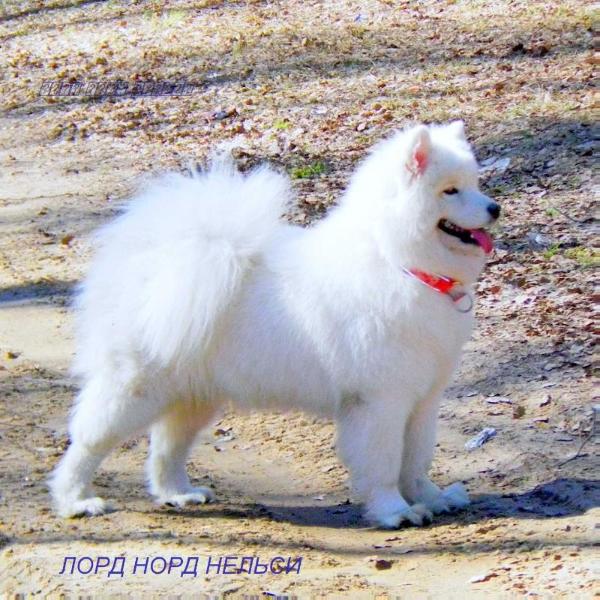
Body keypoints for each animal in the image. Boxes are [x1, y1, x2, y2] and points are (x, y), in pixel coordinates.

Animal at [51, 120, 500, 524]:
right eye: (450, 190)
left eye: (475, 184)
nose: (494, 208)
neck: (399, 261)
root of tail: (150, 258)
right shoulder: (381, 402)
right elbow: (385, 464)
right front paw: (394, 511)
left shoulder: (423, 400)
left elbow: (417, 459)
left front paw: (432, 498)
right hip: (135, 388)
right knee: (88, 441)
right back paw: (77, 500)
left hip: (194, 393)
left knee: (167, 446)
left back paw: (178, 493)